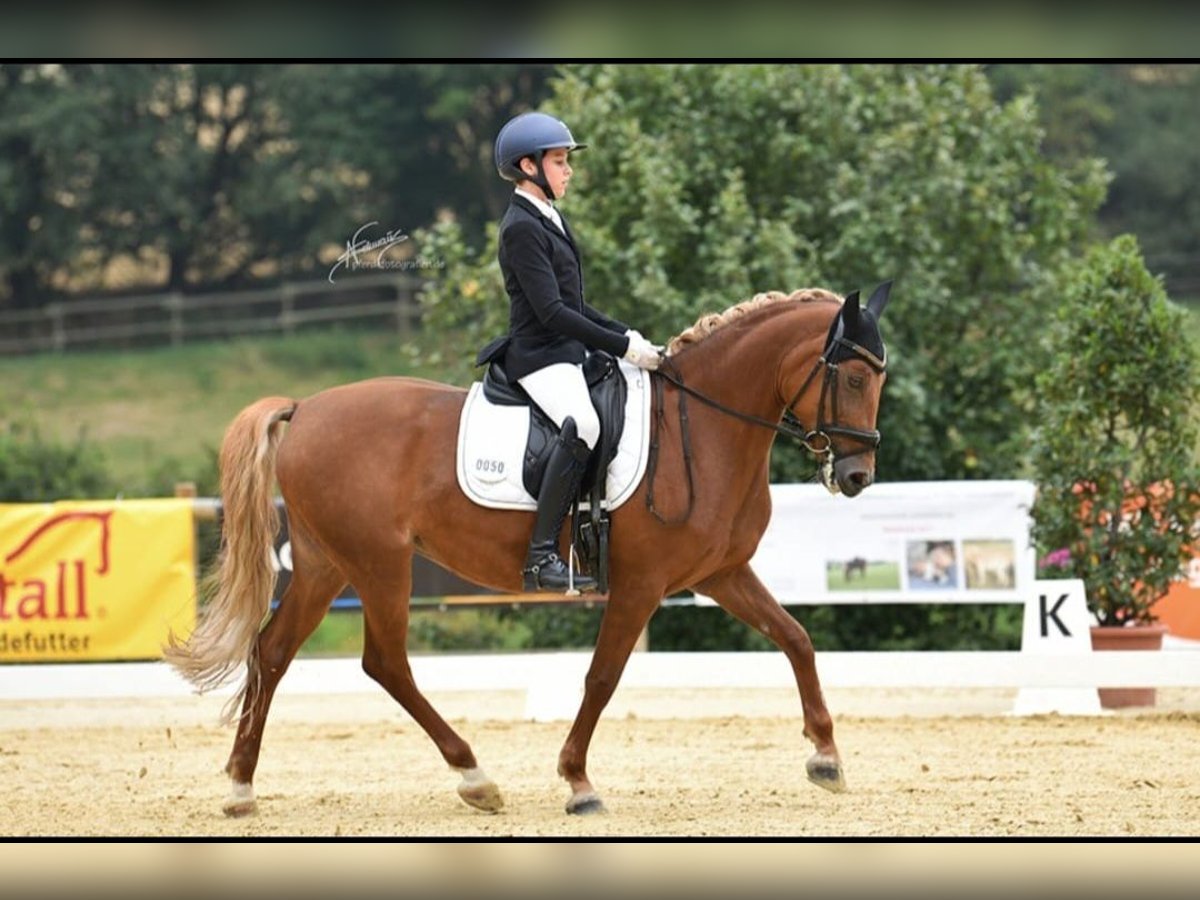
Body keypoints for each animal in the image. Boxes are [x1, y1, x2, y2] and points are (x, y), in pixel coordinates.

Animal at [165, 282, 892, 817]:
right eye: (855, 378)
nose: (857, 476)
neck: (703, 427)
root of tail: (307, 408)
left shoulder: (721, 573)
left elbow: (795, 638)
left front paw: (826, 757)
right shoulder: (642, 584)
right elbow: (602, 677)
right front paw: (578, 783)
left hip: (324, 565)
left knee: (273, 652)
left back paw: (241, 788)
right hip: (378, 564)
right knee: (385, 663)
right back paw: (475, 778)